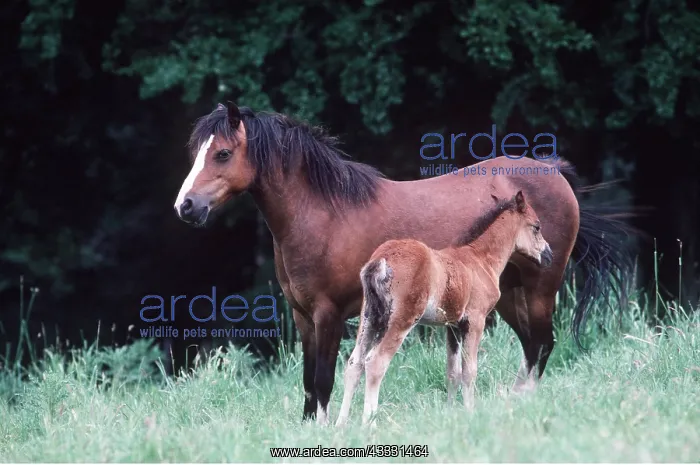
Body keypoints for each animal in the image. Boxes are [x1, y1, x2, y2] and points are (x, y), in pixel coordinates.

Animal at [335, 190, 552, 426]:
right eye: (537, 226)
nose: (549, 255)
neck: (481, 260)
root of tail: (382, 259)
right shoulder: (475, 320)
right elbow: (469, 371)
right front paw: (470, 413)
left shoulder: (453, 326)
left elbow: (452, 373)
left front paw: (450, 414)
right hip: (401, 320)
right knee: (375, 362)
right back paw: (369, 423)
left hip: (371, 317)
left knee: (354, 363)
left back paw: (340, 424)